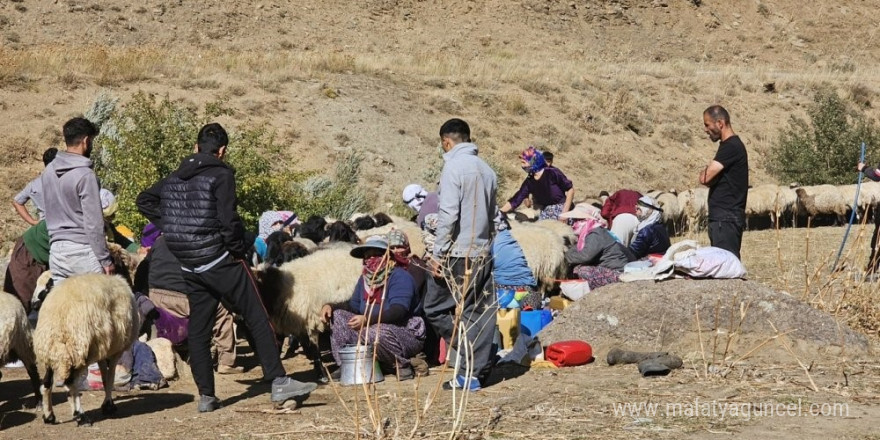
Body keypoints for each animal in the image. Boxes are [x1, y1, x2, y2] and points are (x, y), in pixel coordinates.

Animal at [34, 274, 139, 424]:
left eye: (44, 288)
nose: (34, 304)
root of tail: (56, 322)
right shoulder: (115, 351)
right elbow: (110, 376)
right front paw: (108, 405)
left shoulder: (102, 349)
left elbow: (104, 376)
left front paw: (107, 404)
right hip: (78, 351)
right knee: (71, 383)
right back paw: (81, 415)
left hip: (51, 352)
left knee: (47, 383)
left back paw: (49, 416)